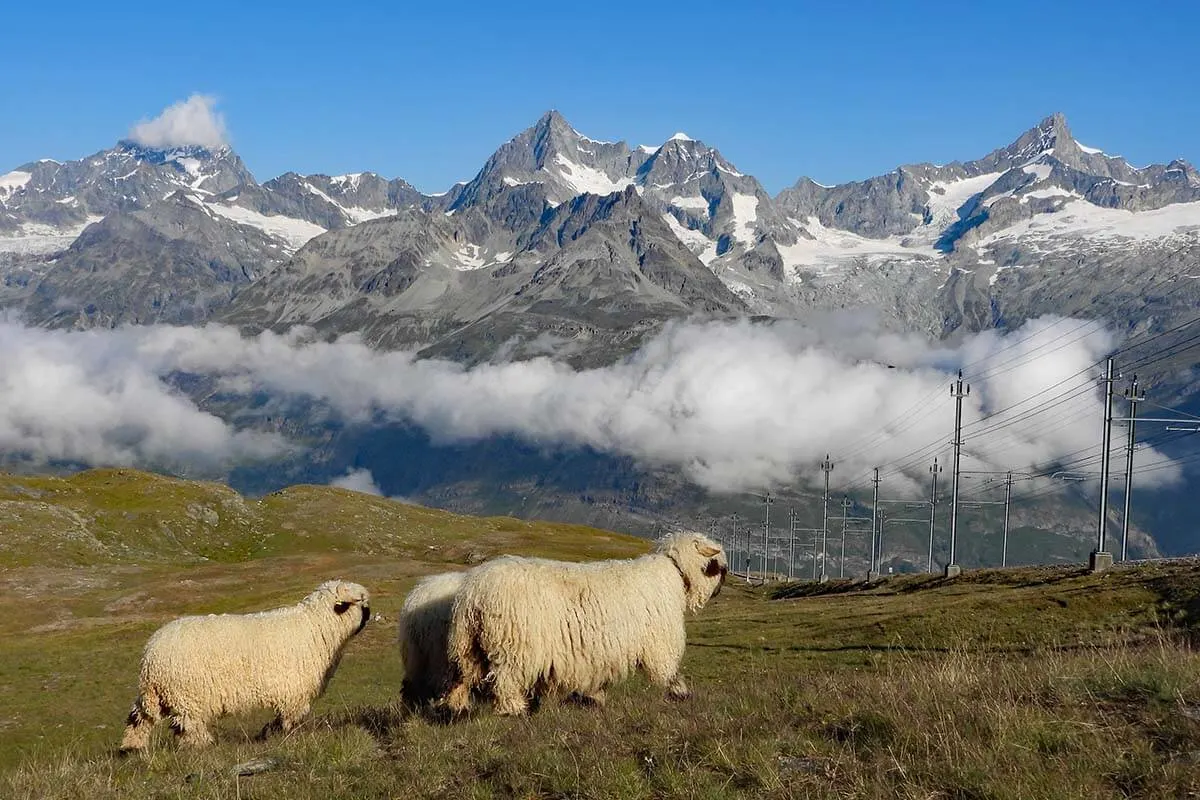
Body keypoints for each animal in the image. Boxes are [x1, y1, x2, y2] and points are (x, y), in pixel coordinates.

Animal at [119, 575, 369, 753]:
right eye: (359, 603)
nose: (369, 615)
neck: (316, 625)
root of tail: (151, 655)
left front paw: (271, 732)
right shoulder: (293, 691)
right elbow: (290, 718)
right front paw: (287, 735)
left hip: (159, 696)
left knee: (139, 718)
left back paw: (131, 748)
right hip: (187, 696)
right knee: (188, 725)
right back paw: (202, 745)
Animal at [446, 534, 724, 714]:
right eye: (717, 566)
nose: (720, 590)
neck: (675, 572)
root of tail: (473, 593)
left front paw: (595, 698)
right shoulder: (659, 641)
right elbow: (669, 671)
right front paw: (681, 693)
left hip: (468, 645)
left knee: (462, 677)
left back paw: (456, 709)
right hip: (514, 646)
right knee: (506, 681)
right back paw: (514, 711)